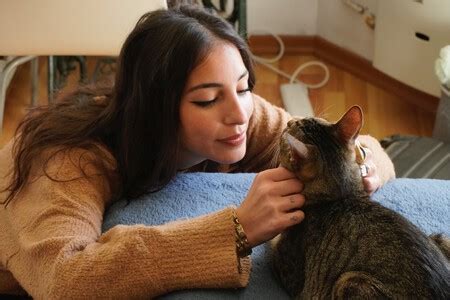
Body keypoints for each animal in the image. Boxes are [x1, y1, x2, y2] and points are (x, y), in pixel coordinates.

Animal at [270, 105, 450, 298]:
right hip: (440, 238)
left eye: (289, 129)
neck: (342, 194)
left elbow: (272, 245)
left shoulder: (291, 276)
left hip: (349, 282)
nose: (288, 121)